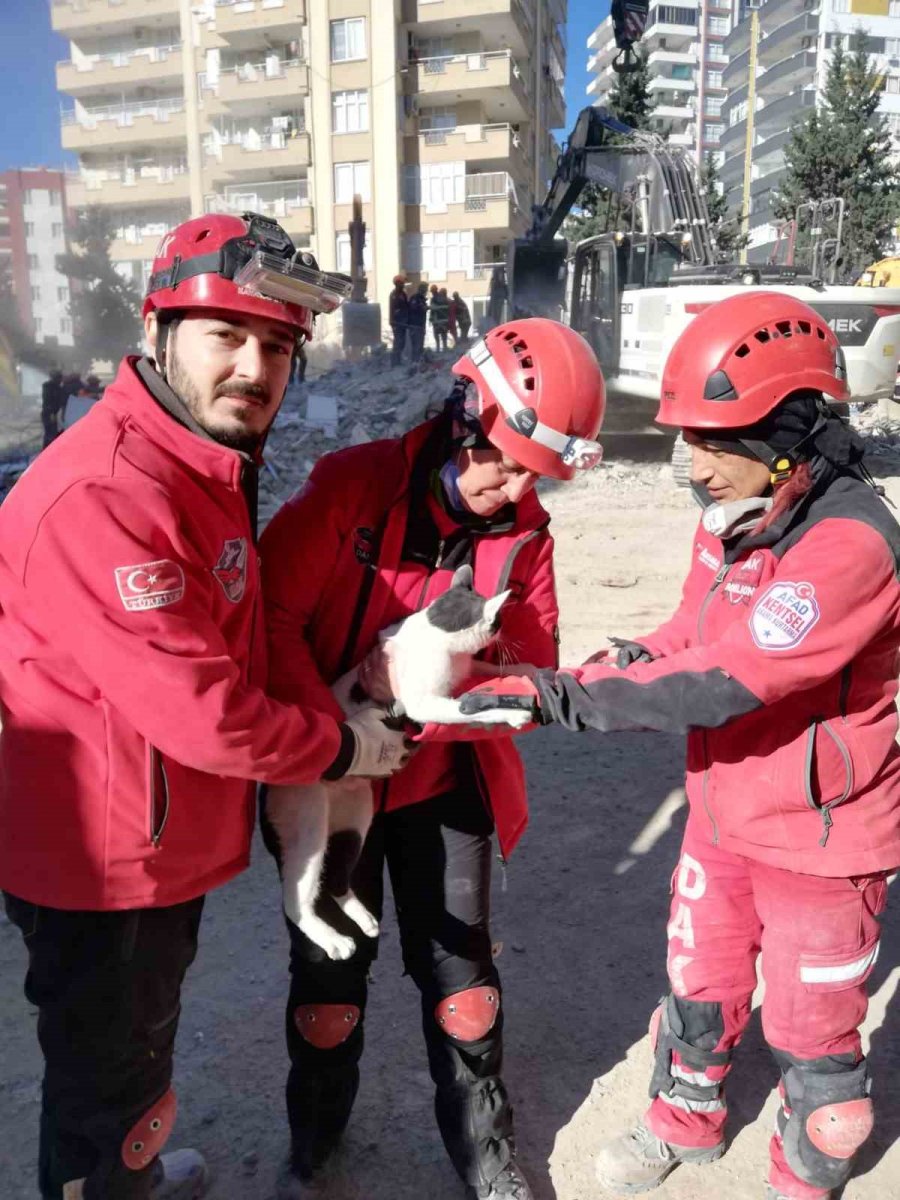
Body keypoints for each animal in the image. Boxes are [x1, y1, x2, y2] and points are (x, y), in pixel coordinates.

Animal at [264, 566, 528, 960]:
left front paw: (528, 669)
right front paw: (508, 714)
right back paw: (332, 939)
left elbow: (484, 668)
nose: (506, 631)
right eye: (499, 621)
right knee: (296, 897)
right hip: (309, 825)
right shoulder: (425, 704)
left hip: (357, 819)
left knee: (337, 878)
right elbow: (471, 707)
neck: (437, 630)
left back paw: (363, 919)